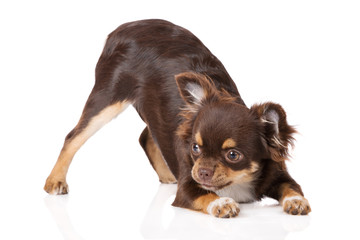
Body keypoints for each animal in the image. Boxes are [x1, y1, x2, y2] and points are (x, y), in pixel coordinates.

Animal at [44, 19, 310, 218]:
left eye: (233, 155)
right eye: (195, 148)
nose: (201, 172)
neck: (235, 183)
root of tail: (123, 27)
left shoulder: (280, 174)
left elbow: (292, 187)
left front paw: (297, 201)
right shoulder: (187, 189)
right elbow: (205, 195)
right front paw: (221, 203)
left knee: (146, 136)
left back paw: (166, 174)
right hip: (108, 98)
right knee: (73, 136)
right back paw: (55, 181)